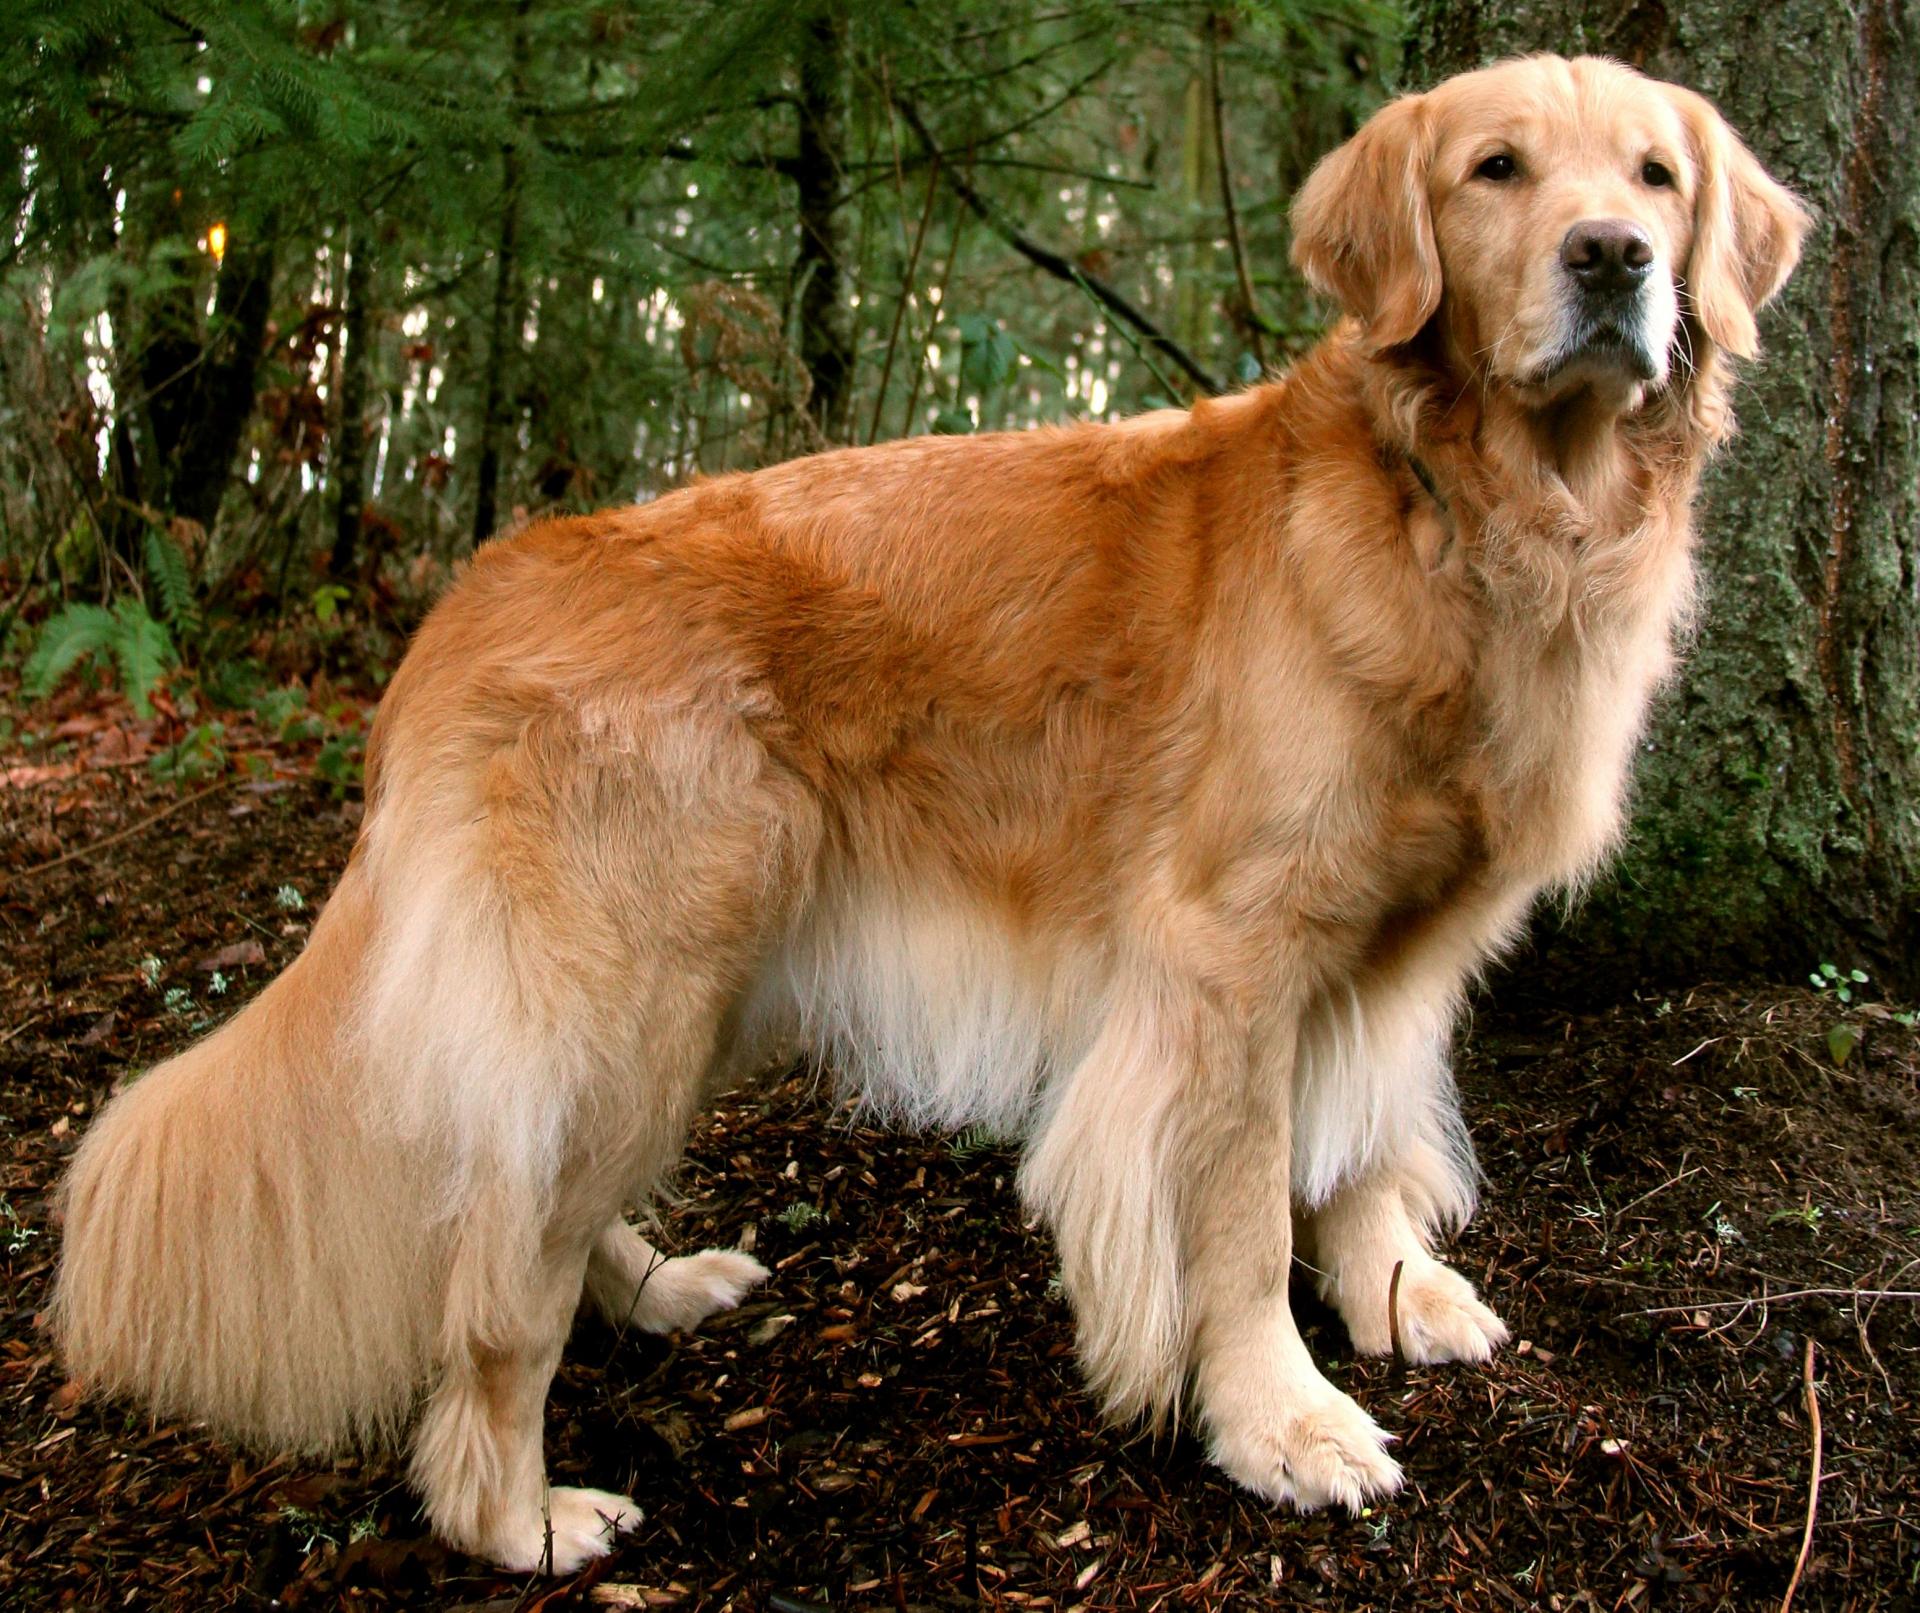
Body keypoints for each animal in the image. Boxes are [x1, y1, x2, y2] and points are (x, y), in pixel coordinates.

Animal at [56, 53, 1797, 1574]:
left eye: (1655, 174)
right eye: (1497, 168)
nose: (1615, 257)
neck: (1462, 514)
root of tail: (473, 599)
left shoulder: (1403, 949)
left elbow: (1368, 1134)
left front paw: (1389, 1286)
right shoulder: (1228, 965)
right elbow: (1239, 1221)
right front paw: (1281, 1419)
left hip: (675, 1001)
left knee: (528, 1195)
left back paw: (657, 1287)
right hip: (630, 992)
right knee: (493, 1276)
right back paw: (515, 1510)